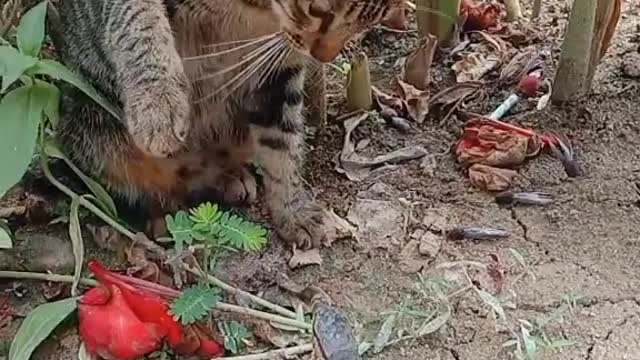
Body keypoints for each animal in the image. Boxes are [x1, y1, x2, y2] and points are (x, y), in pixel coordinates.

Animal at [48, 0, 400, 248]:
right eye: (318, 10)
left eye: (374, 19)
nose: (324, 57)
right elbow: (137, 18)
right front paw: (158, 98)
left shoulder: (278, 71)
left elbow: (284, 146)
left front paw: (293, 210)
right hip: (95, 131)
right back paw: (166, 215)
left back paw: (227, 178)